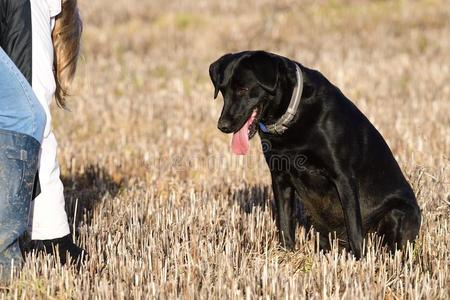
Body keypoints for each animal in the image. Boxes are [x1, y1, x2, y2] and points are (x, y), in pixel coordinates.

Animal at [210, 50, 422, 256]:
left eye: (243, 89)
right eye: (223, 91)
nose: (222, 126)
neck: (292, 115)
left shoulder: (344, 177)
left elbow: (354, 229)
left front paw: (360, 261)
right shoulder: (279, 177)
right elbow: (284, 223)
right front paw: (286, 254)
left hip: (399, 211)